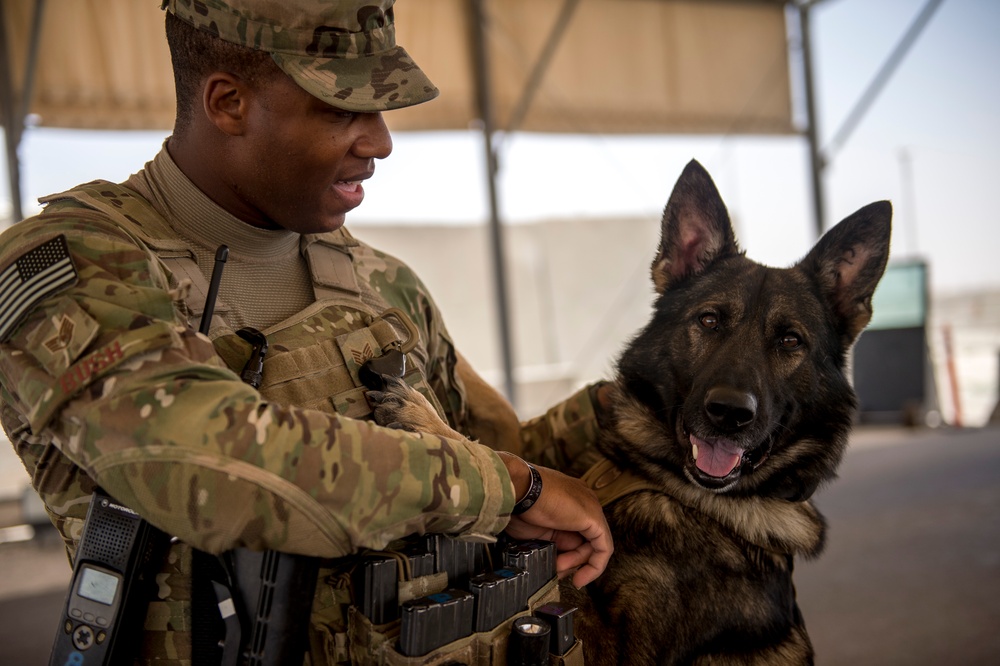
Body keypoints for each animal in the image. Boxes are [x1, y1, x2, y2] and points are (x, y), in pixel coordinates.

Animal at [368, 158, 892, 660]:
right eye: (709, 320)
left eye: (790, 341)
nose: (729, 414)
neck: (668, 484)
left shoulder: (602, 639)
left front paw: (429, 421)